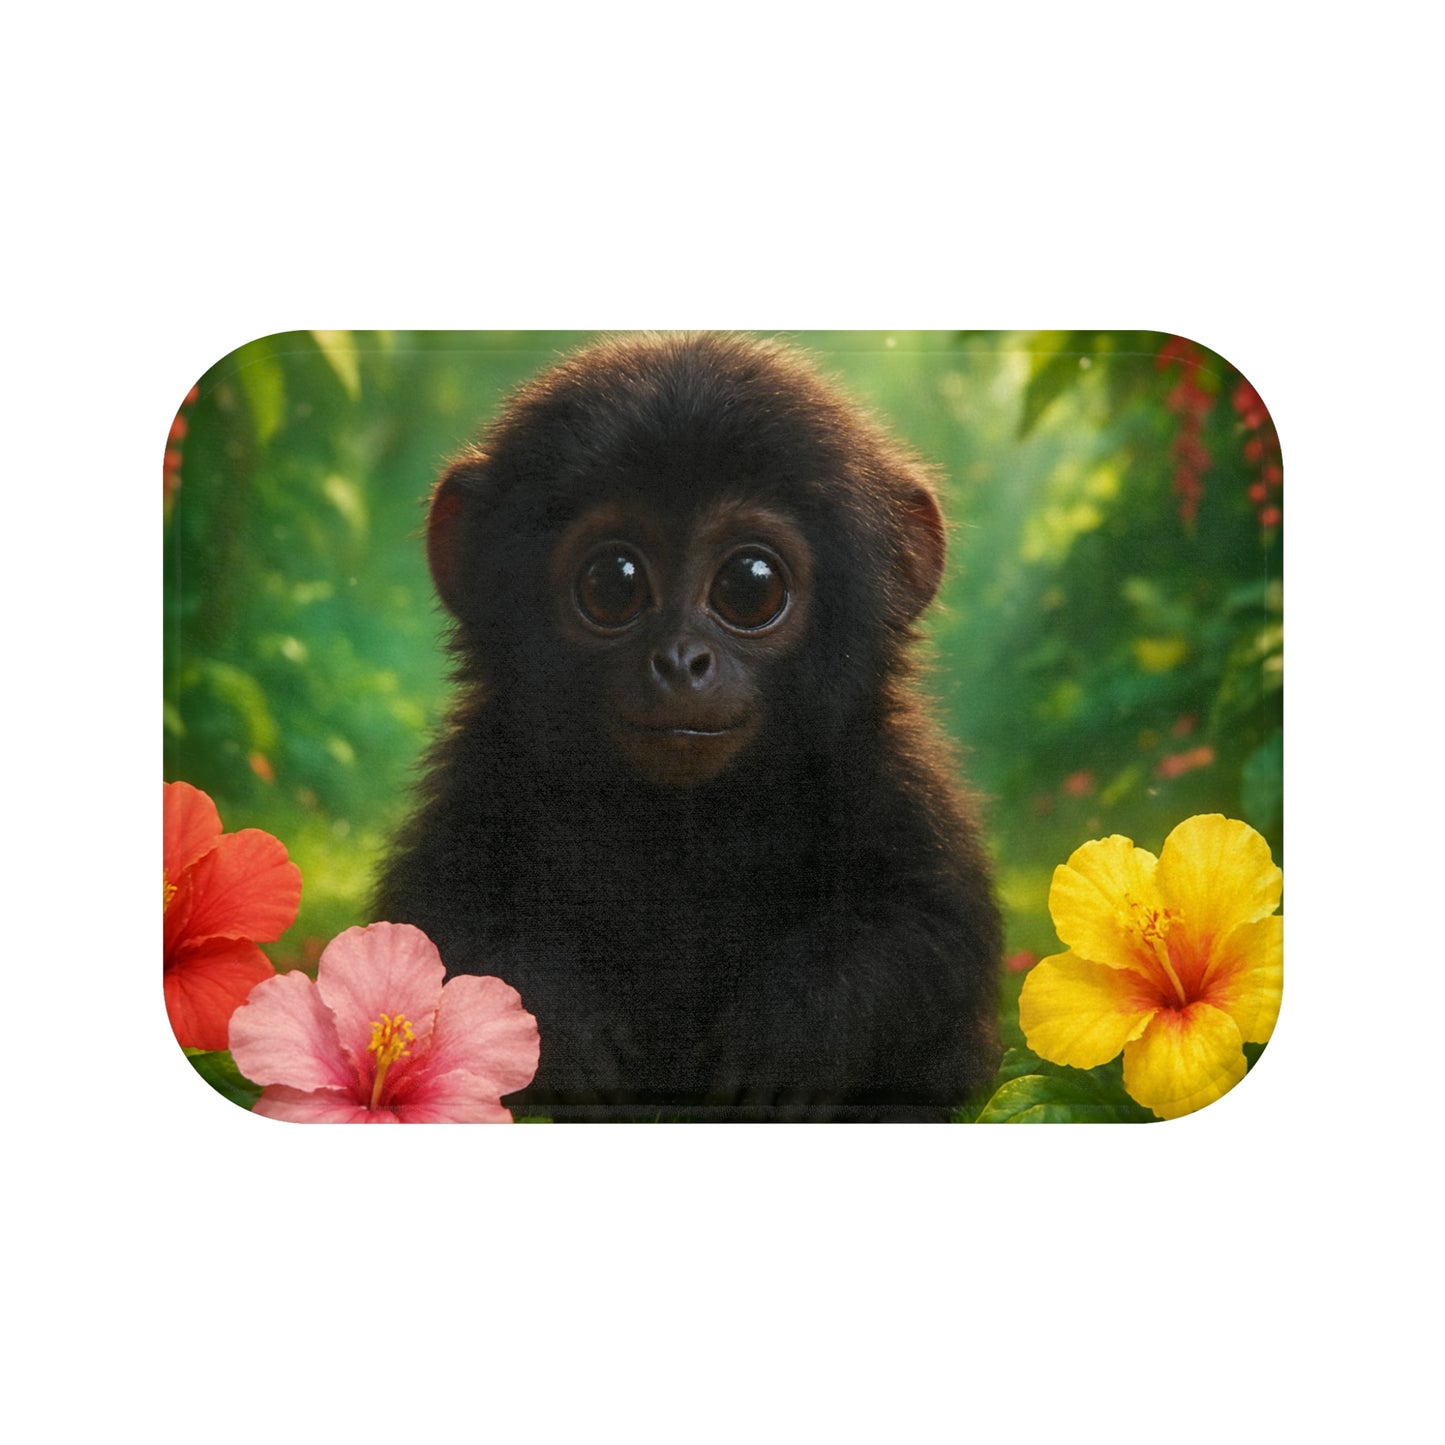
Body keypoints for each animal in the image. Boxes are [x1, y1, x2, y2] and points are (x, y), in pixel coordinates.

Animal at [374, 333, 1001, 1120]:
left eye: (750, 585)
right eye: (611, 582)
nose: (680, 659)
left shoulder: (892, 778)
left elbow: (932, 932)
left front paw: (796, 1025)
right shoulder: (482, 774)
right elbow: (435, 923)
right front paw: (559, 1024)